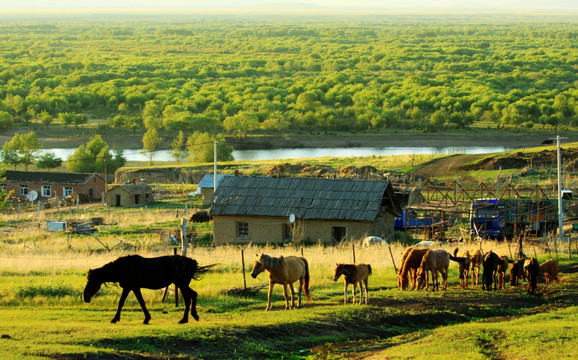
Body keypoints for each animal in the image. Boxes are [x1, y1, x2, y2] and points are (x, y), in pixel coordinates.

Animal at [82, 255, 213, 324]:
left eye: (90, 281)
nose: (85, 297)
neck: (122, 268)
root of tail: (191, 262)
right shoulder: (134, 288)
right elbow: (141, 302)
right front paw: (147, 318)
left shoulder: (130, 287)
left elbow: (122, 302)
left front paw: (115, 319)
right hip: (181, 285)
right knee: (189, 298)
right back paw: (186, 318)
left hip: (181, 284)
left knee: (192, 296)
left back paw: (191, 316)